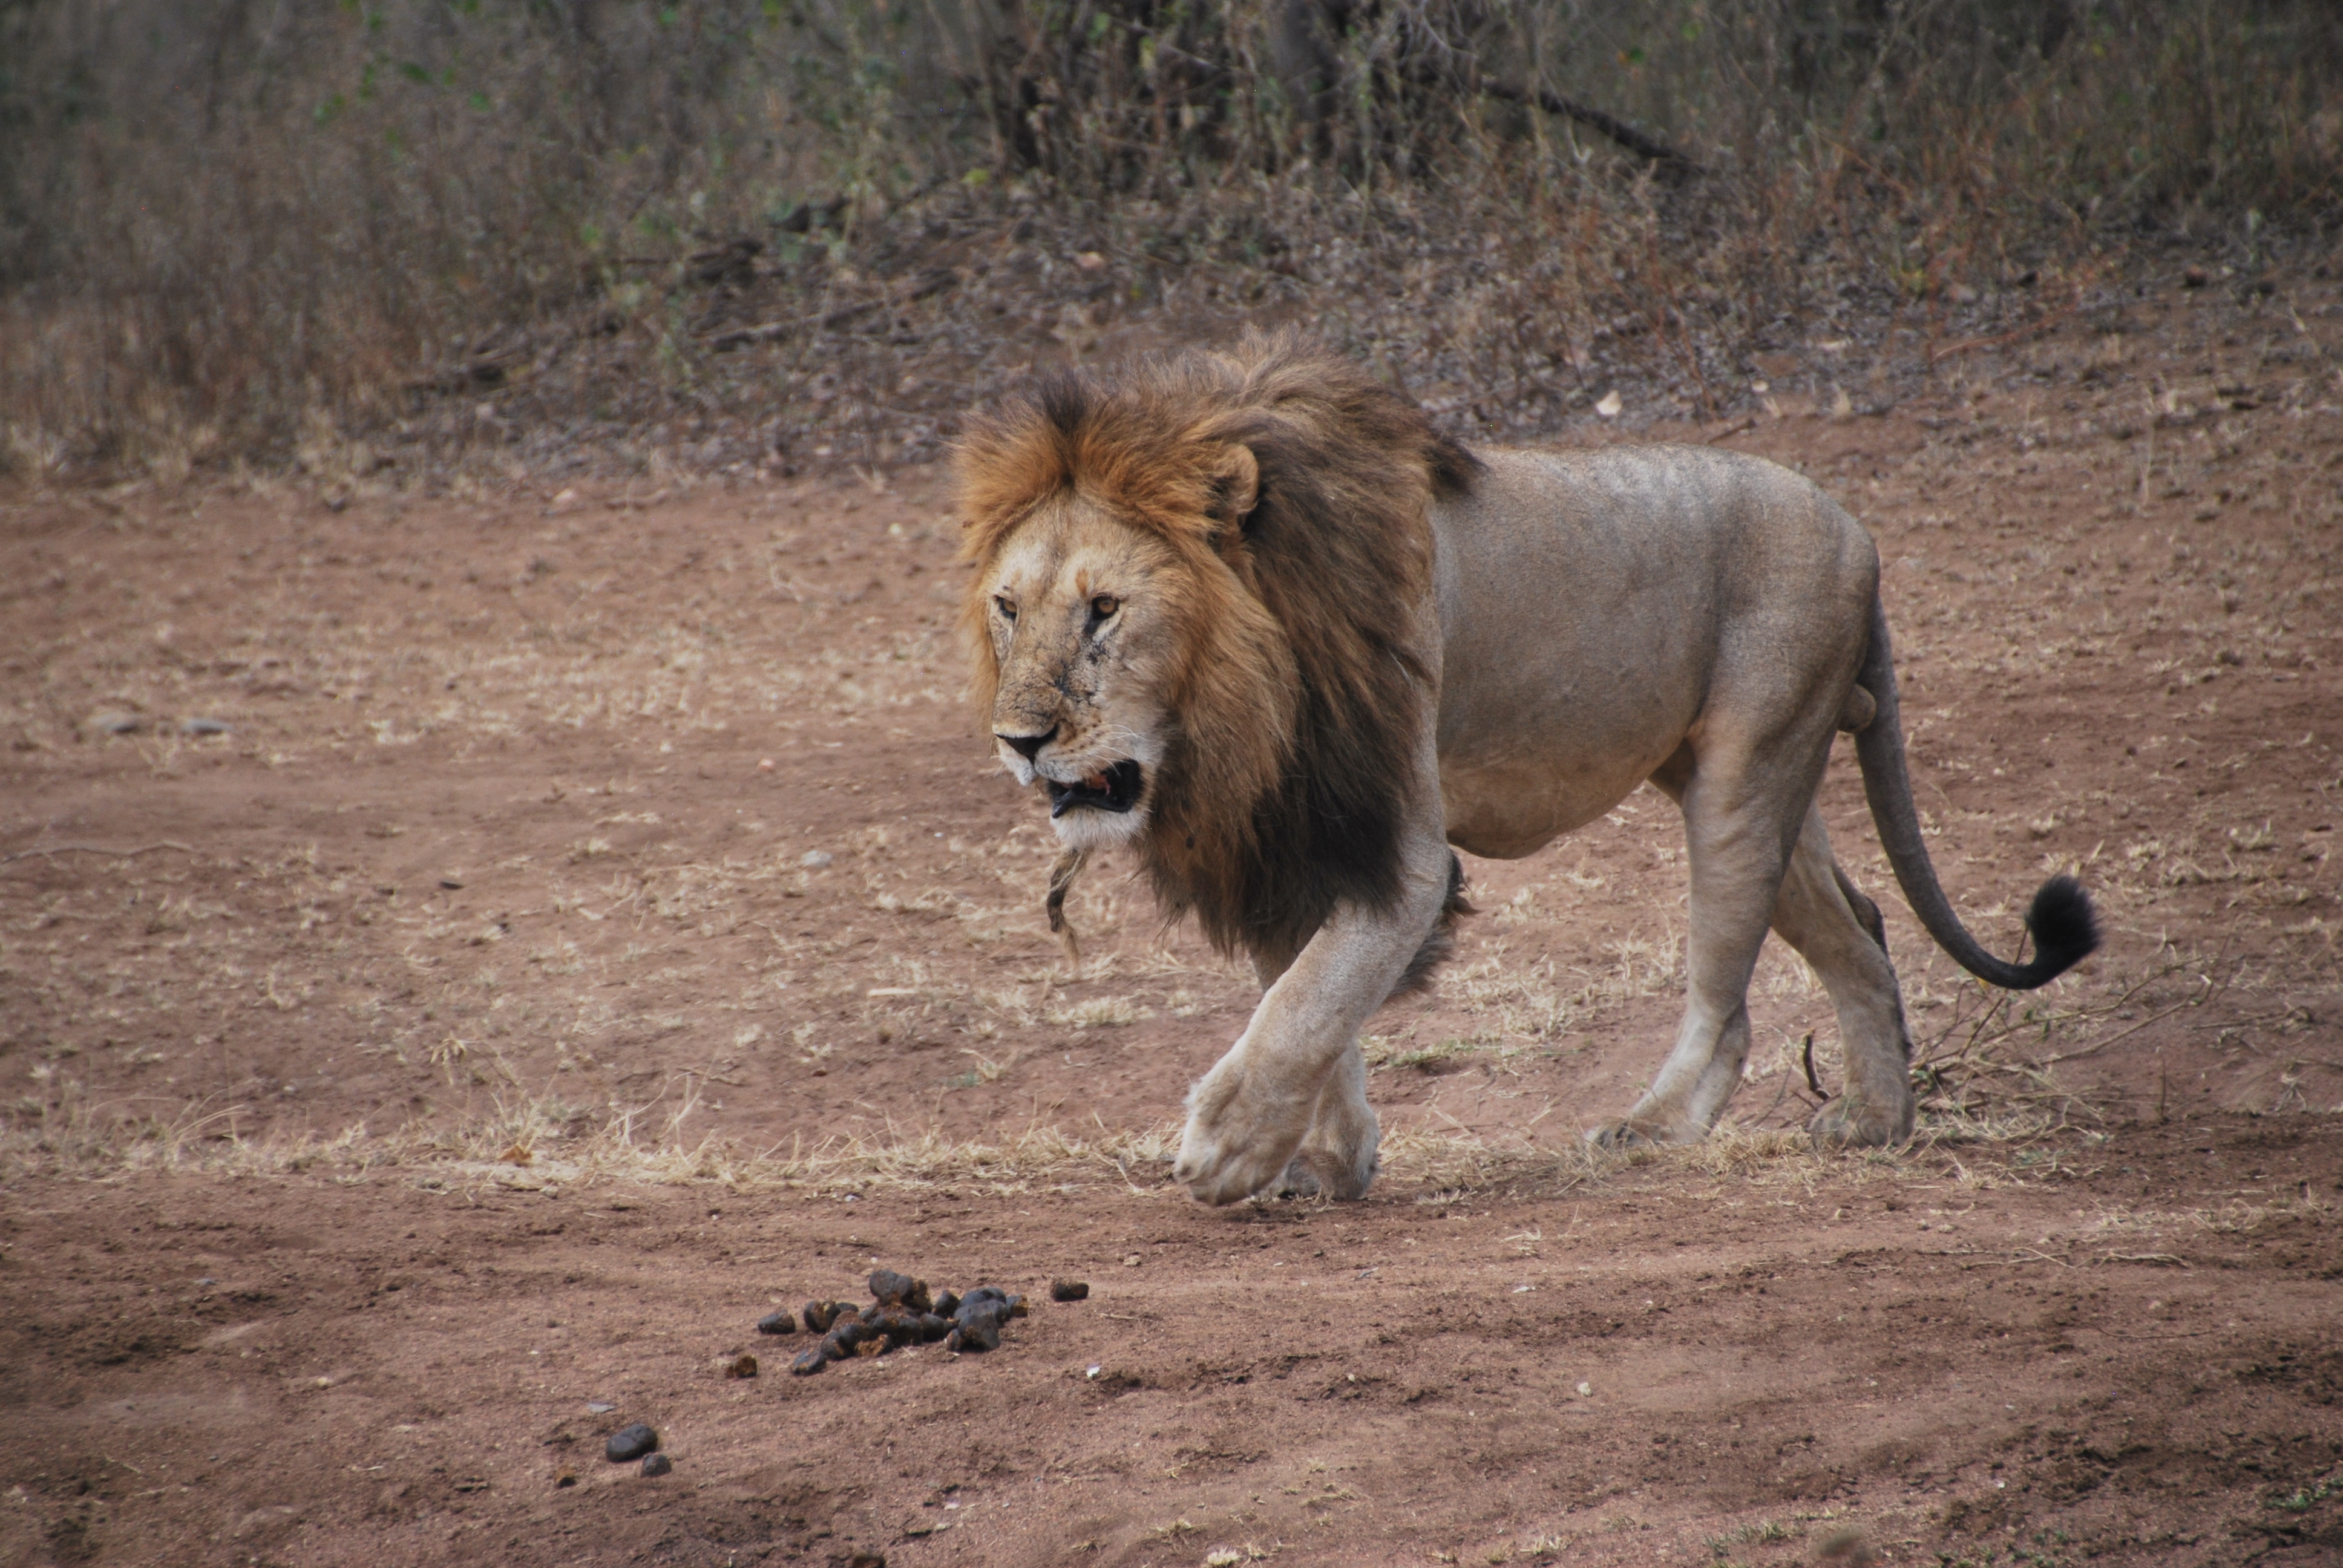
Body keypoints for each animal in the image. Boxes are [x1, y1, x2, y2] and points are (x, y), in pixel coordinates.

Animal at [955, 333, 2098, 1205]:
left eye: (1105, 610)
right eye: (1008, 607)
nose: (1018, 741)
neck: (1234, 707)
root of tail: (1859, 531)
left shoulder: (1398, 847)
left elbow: (1305, 1003)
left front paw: (1227, 1145)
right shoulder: (1296, 836)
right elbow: (1310, 998)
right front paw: (1329, 1161)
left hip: (1746, 771)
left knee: (1725, 997)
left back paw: (1655, 1126)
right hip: (1757, 782)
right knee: (1858, 930)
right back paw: (1876, 1121)